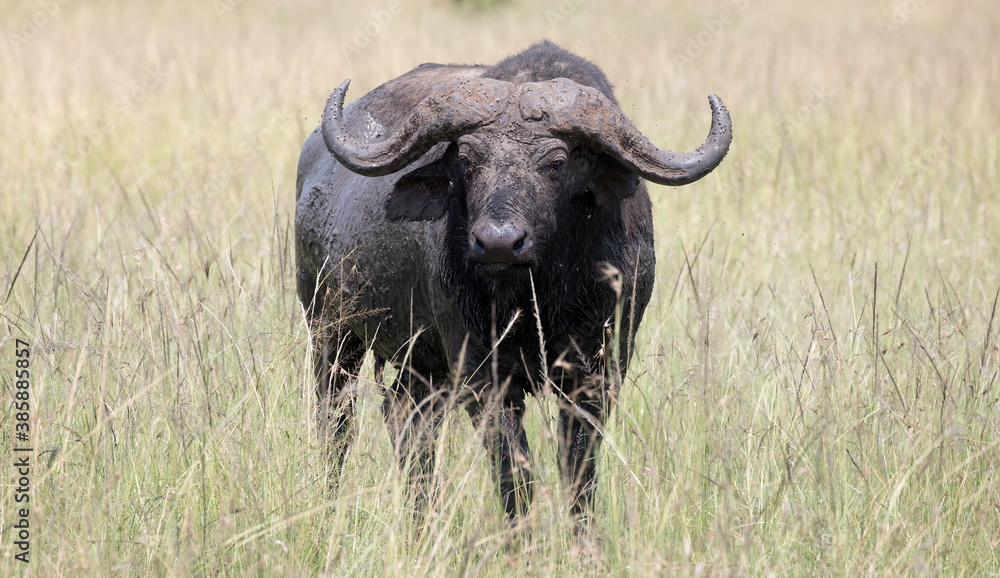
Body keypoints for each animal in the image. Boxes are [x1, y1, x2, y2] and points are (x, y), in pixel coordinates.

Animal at [292, 39, 732, 516]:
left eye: (557, 163)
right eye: (467, 160)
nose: (499, 243)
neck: (539, 298)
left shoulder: (600, 370)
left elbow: (579, 471)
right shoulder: (484, 377)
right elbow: (513, 473)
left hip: (420, 361)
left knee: (407, 419)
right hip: (330, 331)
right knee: (336, 421)